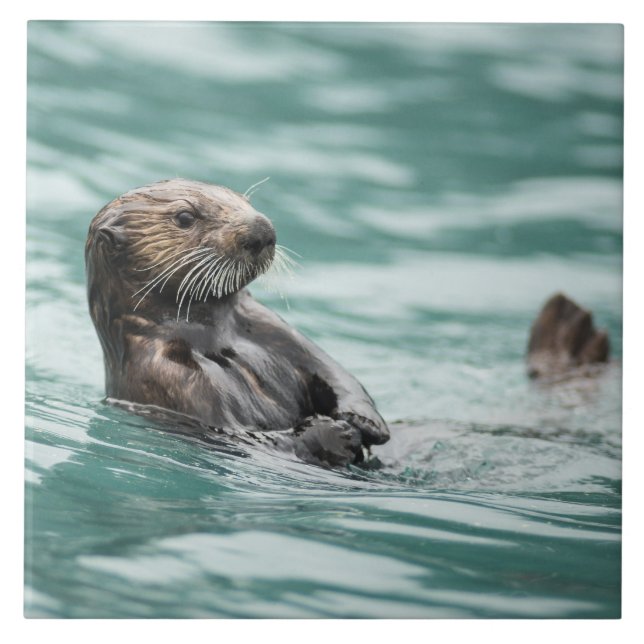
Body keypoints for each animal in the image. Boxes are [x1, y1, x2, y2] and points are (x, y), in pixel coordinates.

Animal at [85, 179, 389, 467]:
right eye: (185, 217)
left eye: (245, 201)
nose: (262, 229)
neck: (215, 338)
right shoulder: (169, 377)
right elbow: (246, 437)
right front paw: (336, 433)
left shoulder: (271, 327)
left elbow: (334, 373)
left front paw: (365, 421)